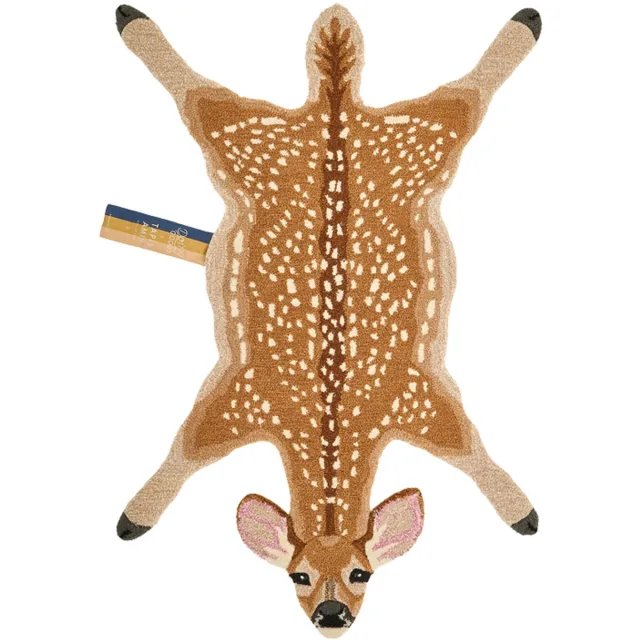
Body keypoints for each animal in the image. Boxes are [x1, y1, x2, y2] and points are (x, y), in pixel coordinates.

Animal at [113, 5, 542, 635]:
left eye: (365, 573)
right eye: (298, 575)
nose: (332, 613)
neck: (332, 426)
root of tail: (335, 105)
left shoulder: (420, 399)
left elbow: (470, 449)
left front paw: (523, 512)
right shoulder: (240, 400)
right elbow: (184, 449)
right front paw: (133, 516)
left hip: (416, 138)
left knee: (463, 97)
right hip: (252, 136)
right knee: (201, 95)